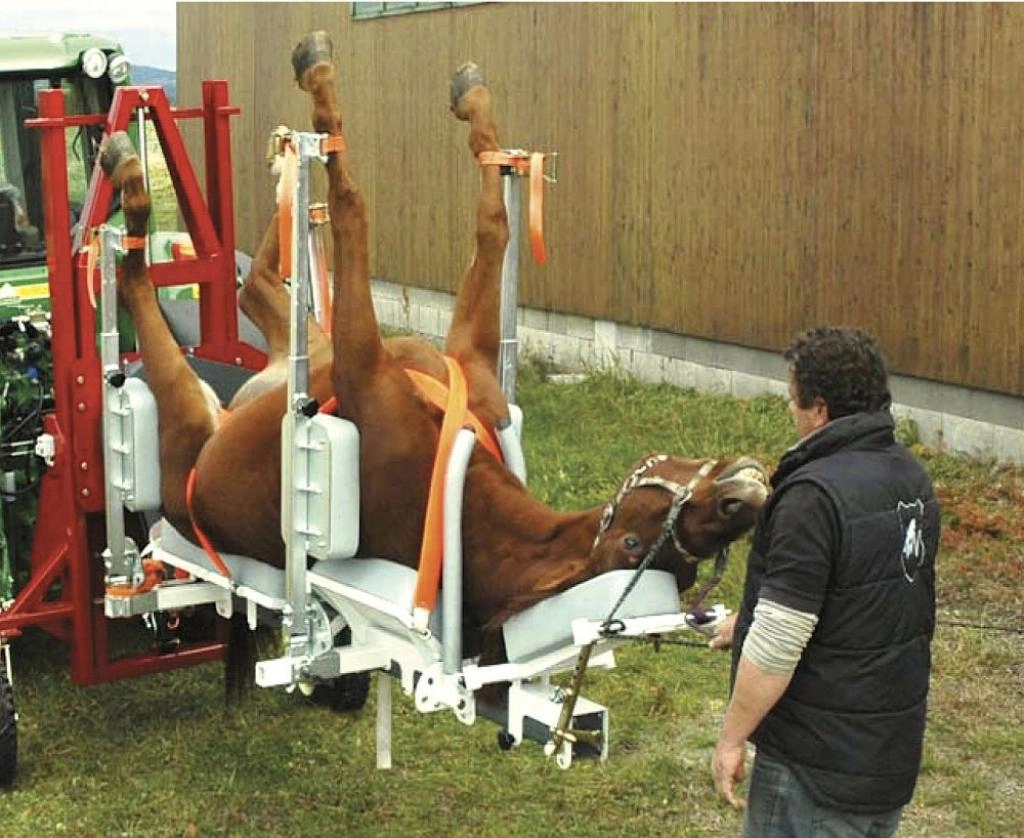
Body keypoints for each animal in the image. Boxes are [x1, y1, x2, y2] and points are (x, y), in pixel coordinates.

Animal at [99, 31, 768, 680]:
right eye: (633, 541)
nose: (741, 501)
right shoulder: (463, 359)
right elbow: (490, 222)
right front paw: (471, 108)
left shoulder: (361, 361)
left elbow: (360, 206)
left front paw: (326, 88)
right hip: (290, 348)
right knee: (255, 278)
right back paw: (281, 164)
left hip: (195, 403)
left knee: (167, 284)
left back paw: (144, 180)